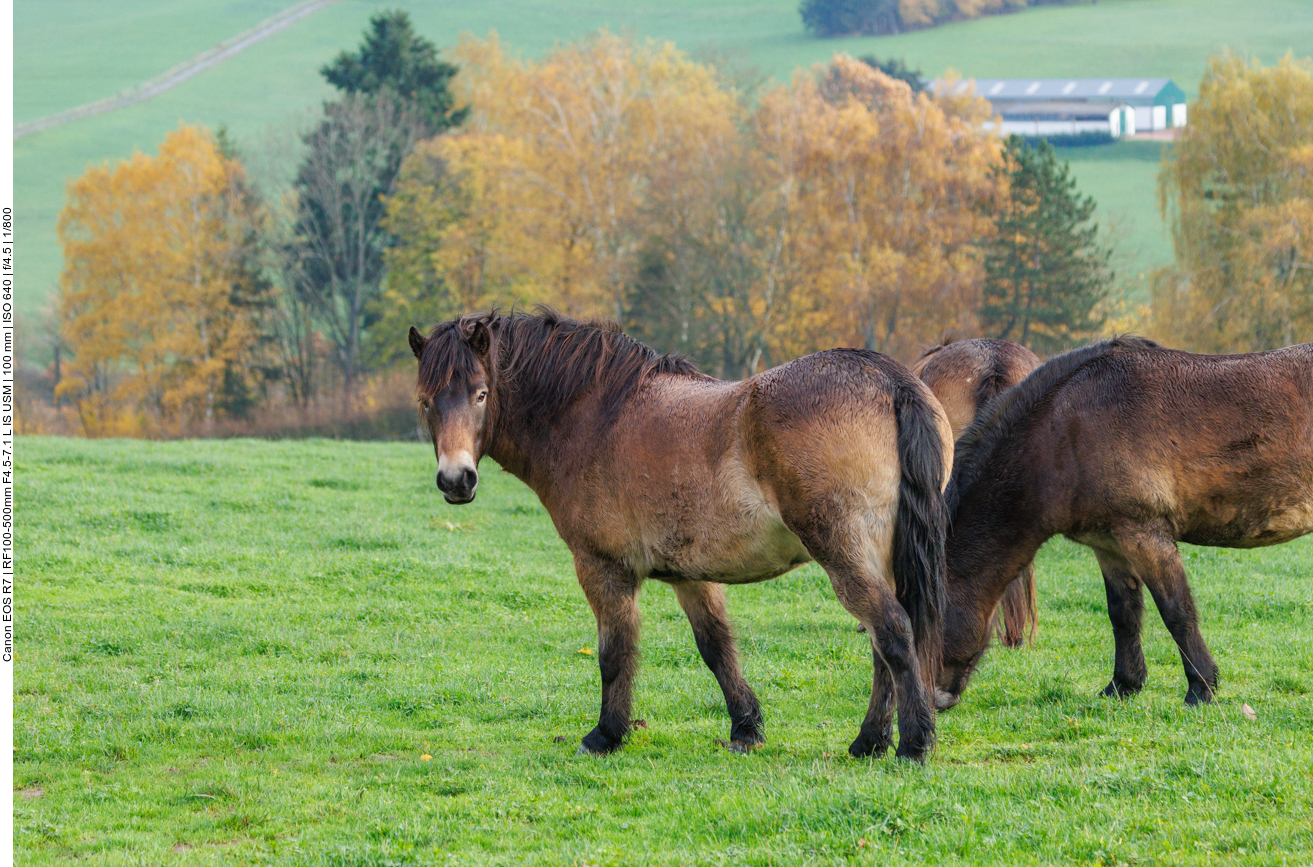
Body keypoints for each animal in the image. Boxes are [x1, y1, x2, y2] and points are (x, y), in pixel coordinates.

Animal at [404, 310, 950, 756]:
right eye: (426, 402)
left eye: (480, 394)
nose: (456, 480)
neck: (595, 418)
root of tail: (888, 380)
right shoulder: (691, 574)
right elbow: (716, 647)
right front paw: (745, 729)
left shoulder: (603, 568)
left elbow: (614, 652)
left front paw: (606, 734)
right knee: (882, 642)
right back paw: (870, 741)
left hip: (843, 552)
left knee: (892, 631)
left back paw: (911, 744)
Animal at [934, 334, 1313, 709]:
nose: (937, 701)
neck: (1064, 431)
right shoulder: (1109, 545)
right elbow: (1123, 614)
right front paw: (1122, 684)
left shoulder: (1145, 534)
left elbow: (1177, 611)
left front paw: (1200, 687)